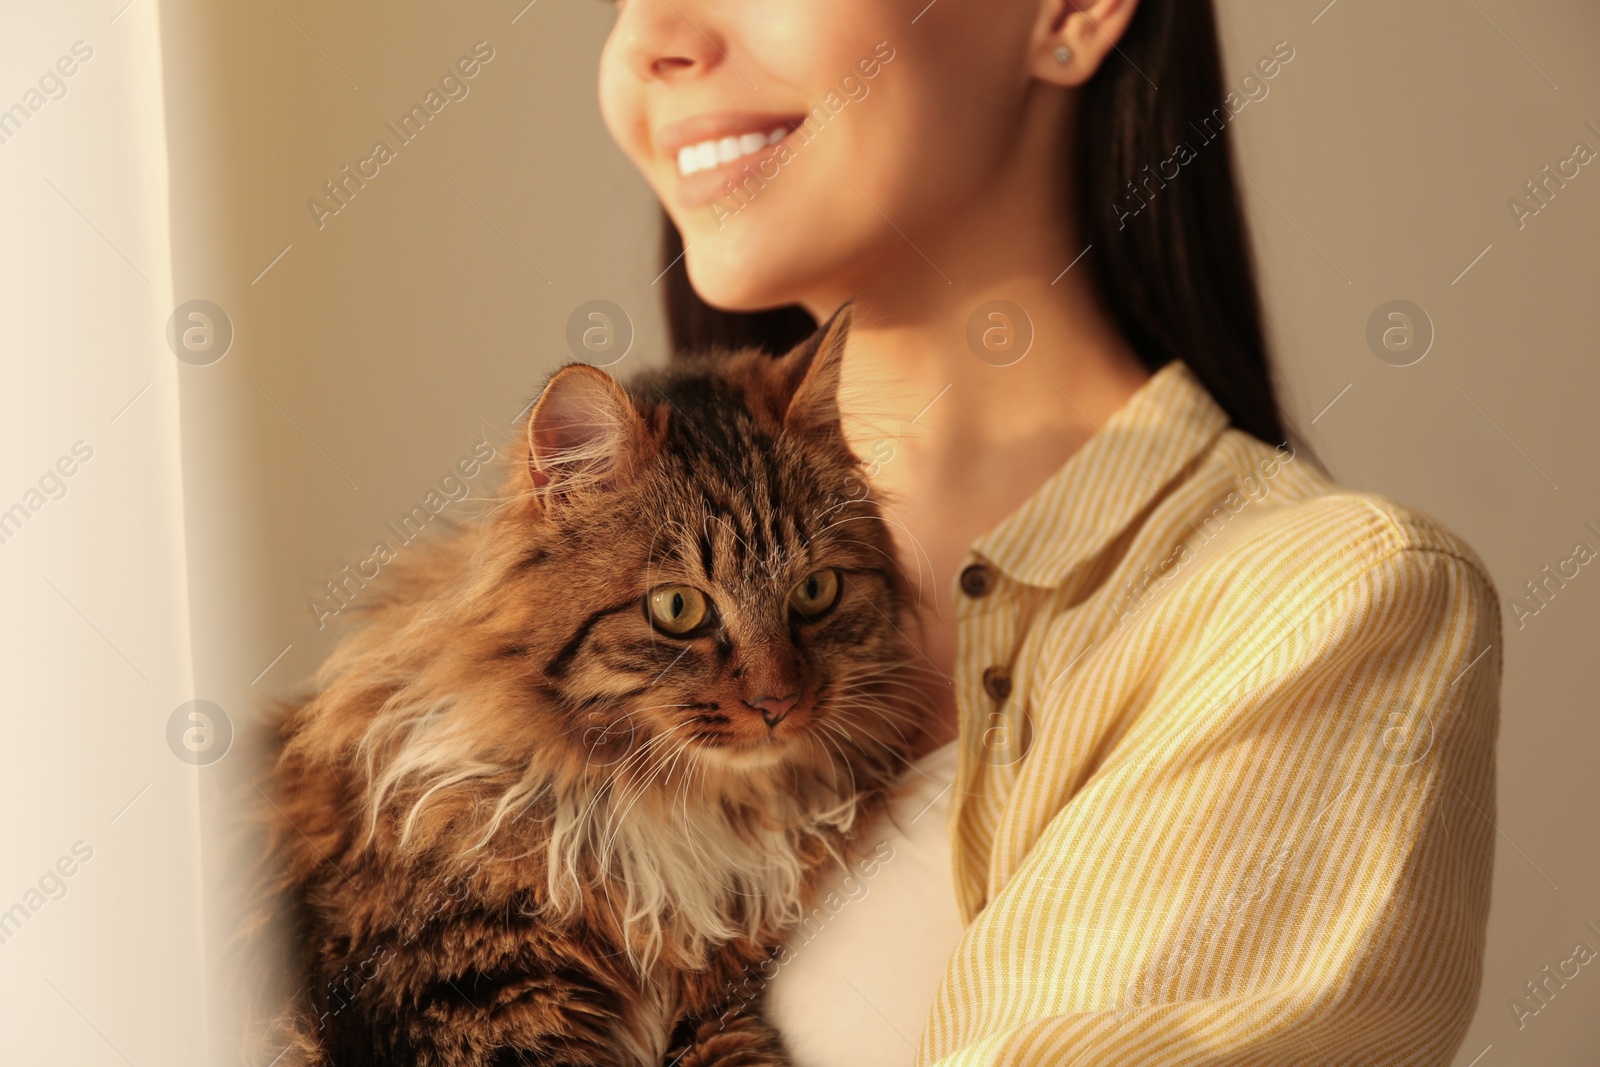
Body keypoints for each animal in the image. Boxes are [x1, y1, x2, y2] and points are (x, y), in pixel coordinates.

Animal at [249, 303, 928, 1062]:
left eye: (815, 591)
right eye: (677, 607)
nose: (777, 702)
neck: (668, 824)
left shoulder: (717, 1010)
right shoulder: (466, 1002)